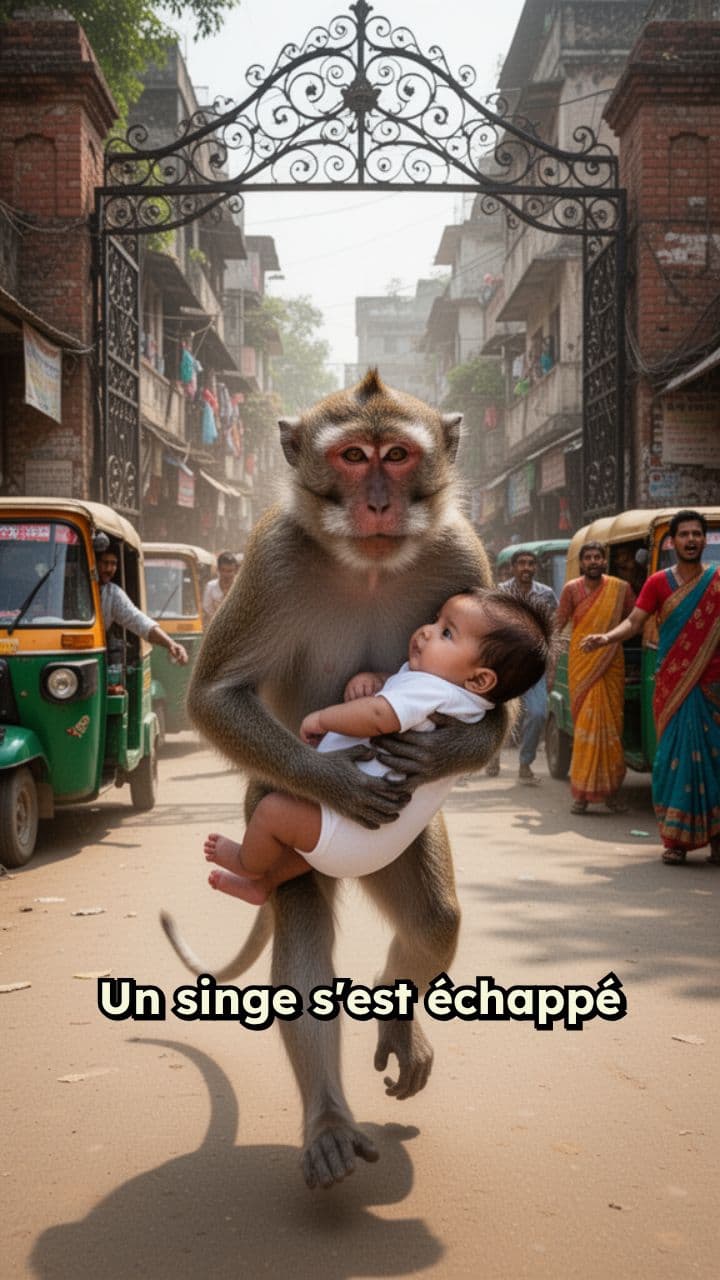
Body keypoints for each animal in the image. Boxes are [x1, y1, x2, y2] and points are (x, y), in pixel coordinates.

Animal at [161, 368, 510, 1190]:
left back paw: (399, 1019)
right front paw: (339, 779)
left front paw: (439, 754)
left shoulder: (464, 553)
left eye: (398, 455)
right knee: (301, 957)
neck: (371, 562)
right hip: (280, 829)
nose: (378, 502)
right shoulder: (270, 558)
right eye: (353, 456)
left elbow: (498, 715)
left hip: (399, 846)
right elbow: (213, 697)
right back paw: (328, 1123)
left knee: (435, 919)